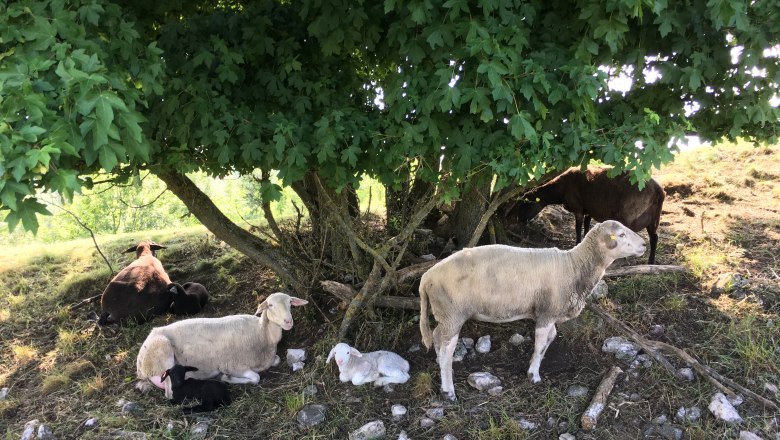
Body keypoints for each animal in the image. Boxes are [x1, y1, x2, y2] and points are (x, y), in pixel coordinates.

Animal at [136, 292, 306, 398]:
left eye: (290, 302)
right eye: (270, 305)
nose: (288, 321)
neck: (261, 333)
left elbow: (276, 360)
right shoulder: (233, 365)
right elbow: (255, 377)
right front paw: (226, 378)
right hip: (162, 353)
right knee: (170, 394)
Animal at [420, 219, 644, 398]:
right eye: (621, 234)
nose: (643, 244)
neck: (573, 266)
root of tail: (427, 277)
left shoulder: (551, 313)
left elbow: (549, 340)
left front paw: (533, 366)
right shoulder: (546, 313)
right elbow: (540, 343)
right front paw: (534, 376)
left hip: (446, 315)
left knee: (438, 338)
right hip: (453, 313)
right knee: (447, 347)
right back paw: (448, 390)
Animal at [506, 167, 664, 262]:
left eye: (526, 204)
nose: (517, 220)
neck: (560, 188)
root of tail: (658, 191)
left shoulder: (578, 209)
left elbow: (578, 228)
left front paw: (577, 244)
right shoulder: (588, 210)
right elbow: (587, 227)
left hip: (628, 215)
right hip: (653, 217)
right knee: (654, 238)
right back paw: (651, 262)